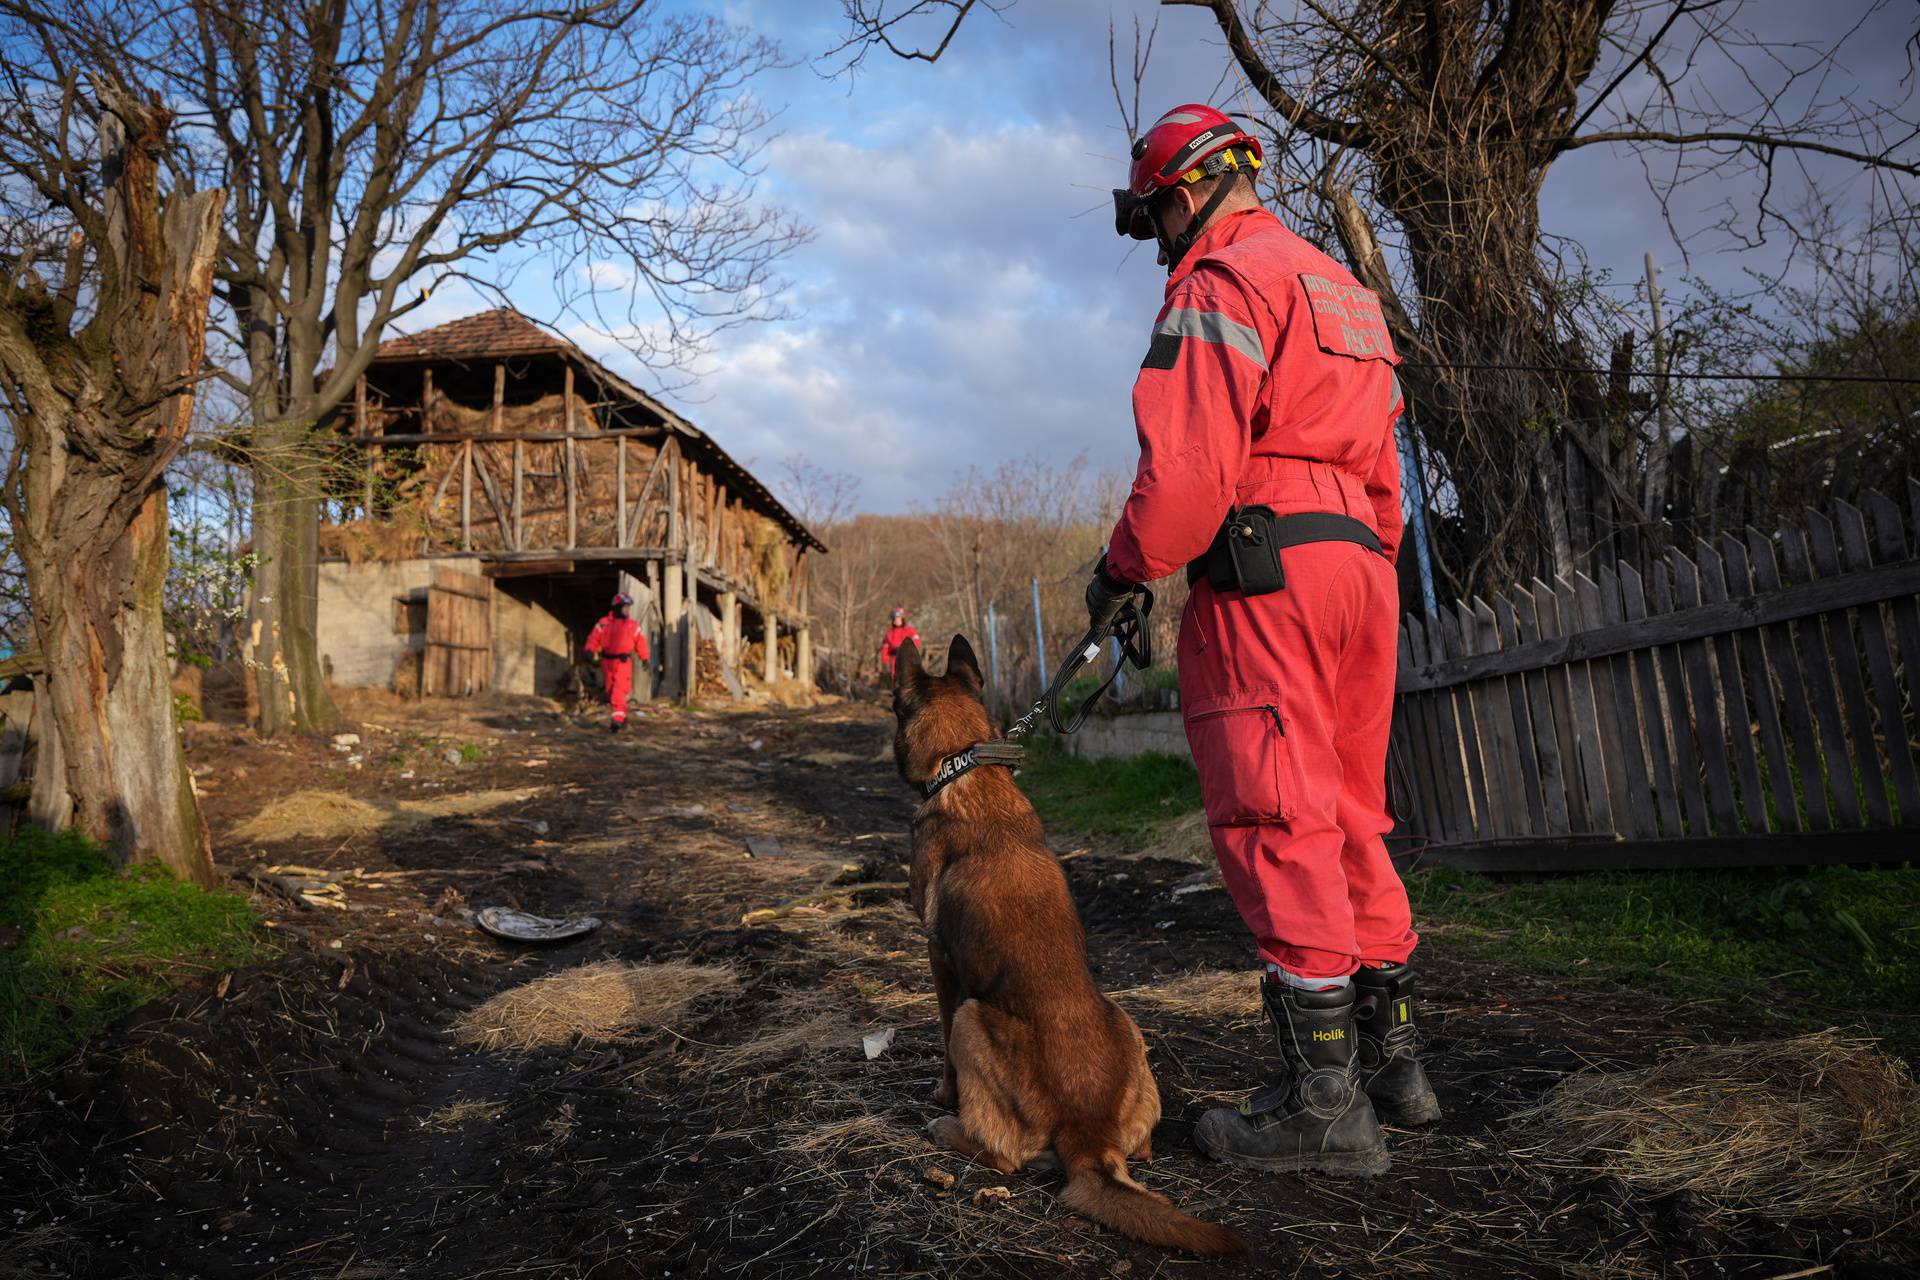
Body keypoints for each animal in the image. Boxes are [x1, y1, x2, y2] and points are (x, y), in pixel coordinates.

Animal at [894, 637, 1251, 1258]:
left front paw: (941, 1096)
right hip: (1127, 1021)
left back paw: (948, 1129)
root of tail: (1089, 1137)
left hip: (972, 1017)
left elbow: (941, 1047)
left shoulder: (939, 959)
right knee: (1139, 1151)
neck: (968, 771)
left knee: (1006, 1157)